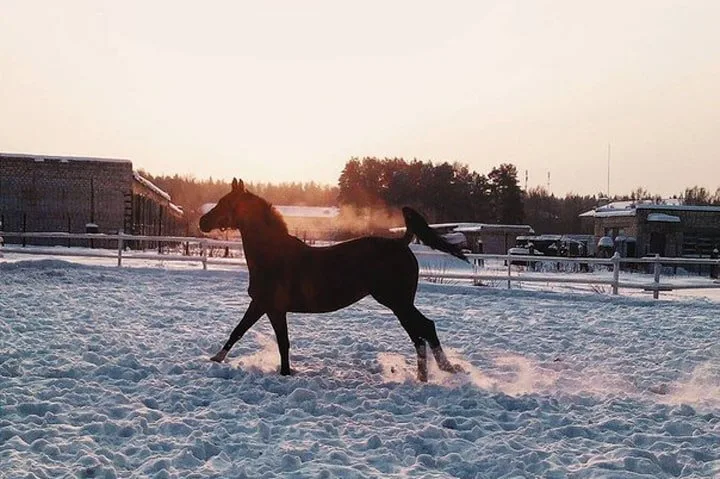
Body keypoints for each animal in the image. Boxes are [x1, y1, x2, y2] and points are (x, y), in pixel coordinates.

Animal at [199, 178, 467, 381]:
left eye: (225, 203)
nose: (203, 222)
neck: (272, 255)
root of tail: (402, 242)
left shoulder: (270, 307)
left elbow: (275, 340)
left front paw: (284, 373)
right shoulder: (264, 306)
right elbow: (241, 331)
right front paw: (216, 358)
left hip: (397, 302)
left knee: (423, 330)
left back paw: (435, 373)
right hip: (400, 304)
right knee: (422, 332)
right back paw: (435, 373)